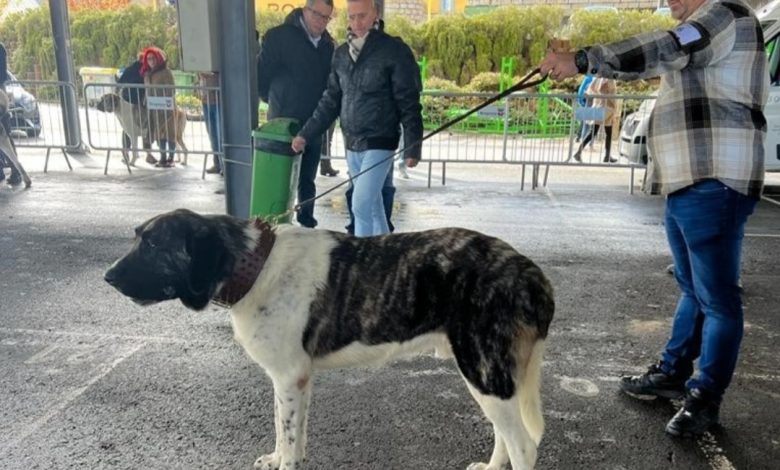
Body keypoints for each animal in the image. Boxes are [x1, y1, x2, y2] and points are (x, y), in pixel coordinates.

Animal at [105, 210, 556, 470]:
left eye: (153, 244)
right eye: (137, 237)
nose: (107, 277)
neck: (257, 267)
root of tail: (530, 273)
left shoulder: (289, 377)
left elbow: (289, 437)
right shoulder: (294, 381)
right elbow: (287, 431)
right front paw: (279, 457)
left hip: (483, 370)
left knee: (523, 445)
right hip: (489, 376)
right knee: (506, 435)